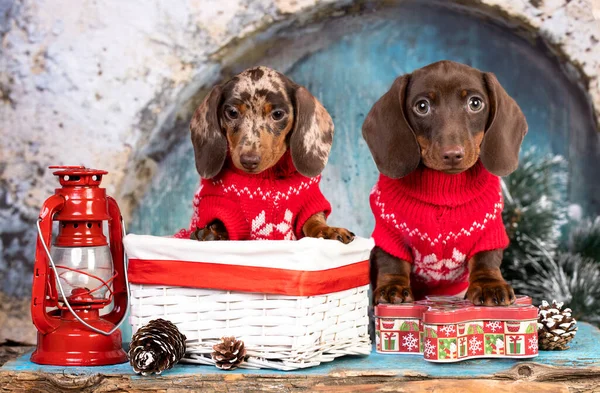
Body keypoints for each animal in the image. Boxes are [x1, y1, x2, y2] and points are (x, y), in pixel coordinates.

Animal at [178, 66, 356, 243]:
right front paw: (213, 232)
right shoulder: (218, 204)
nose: (249, 161)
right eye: (232, 112)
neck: (267, 178)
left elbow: (313, 221)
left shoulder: (309, 203)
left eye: (277, 114)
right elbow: (222, 221)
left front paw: (328, 230)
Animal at [360, 60, 524, 306]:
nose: (452, 154)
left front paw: (489, 285)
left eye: (475, 103)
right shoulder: (389, 232)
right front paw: (393, 286)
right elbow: (392, 261)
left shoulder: (489, 230)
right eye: (422, 106)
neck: (443, 187)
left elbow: (486, 259)